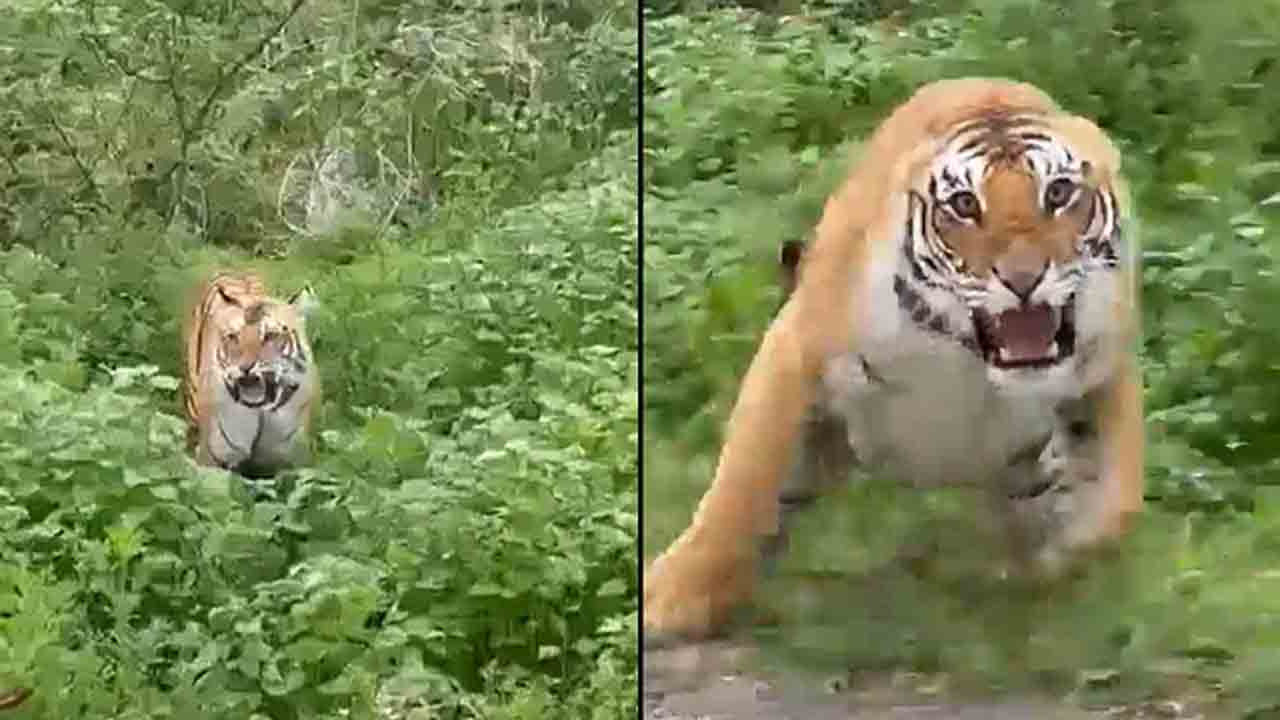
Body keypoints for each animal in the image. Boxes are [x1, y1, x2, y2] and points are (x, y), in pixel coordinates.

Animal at [181, 271, 320, 478]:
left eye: (270, 335)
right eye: (233, 337)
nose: (245, 367)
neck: (261, 412)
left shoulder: (291, 461)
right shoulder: (214, 460)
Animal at [643, 77, 1144, 642]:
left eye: (1058, 194)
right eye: (965, 205)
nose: (1022, 278)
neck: (970, 369)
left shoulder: (1105, 367)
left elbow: (1116, 506)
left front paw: (1054, 561)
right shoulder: (798, 347)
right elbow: (744, 483)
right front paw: (671, 602)